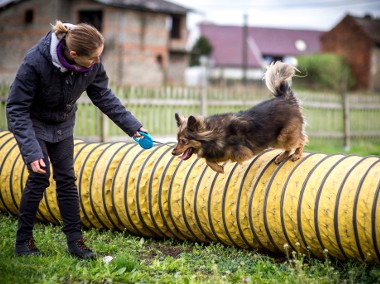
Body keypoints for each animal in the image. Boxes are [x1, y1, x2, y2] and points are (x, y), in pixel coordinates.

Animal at [171, 60, 308, 173]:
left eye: (183, 141)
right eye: (177, 140)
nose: (172, 152)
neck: (213, 133)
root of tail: (285, 97)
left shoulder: (238, 152)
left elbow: (210, 160)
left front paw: (219, 169)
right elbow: (208, 160)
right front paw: (218, 168)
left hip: (283, 136)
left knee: (301, 140)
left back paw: (297, 155)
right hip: (275, 139)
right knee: (289, 147)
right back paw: (281, 157)